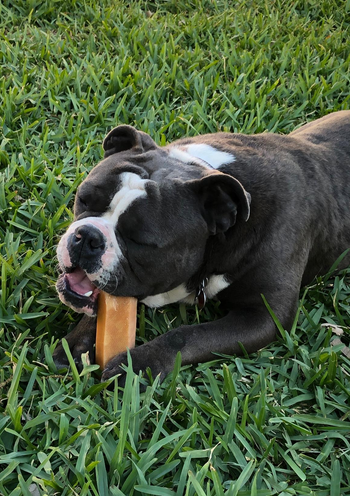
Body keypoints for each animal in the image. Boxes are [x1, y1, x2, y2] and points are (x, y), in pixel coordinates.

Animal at [53, 111, 350, 384]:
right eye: (84, 198)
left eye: (140, 240)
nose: (87, 237)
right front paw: (78, 343)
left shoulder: (264, 316)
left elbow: (187, 335)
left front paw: (138, 364)